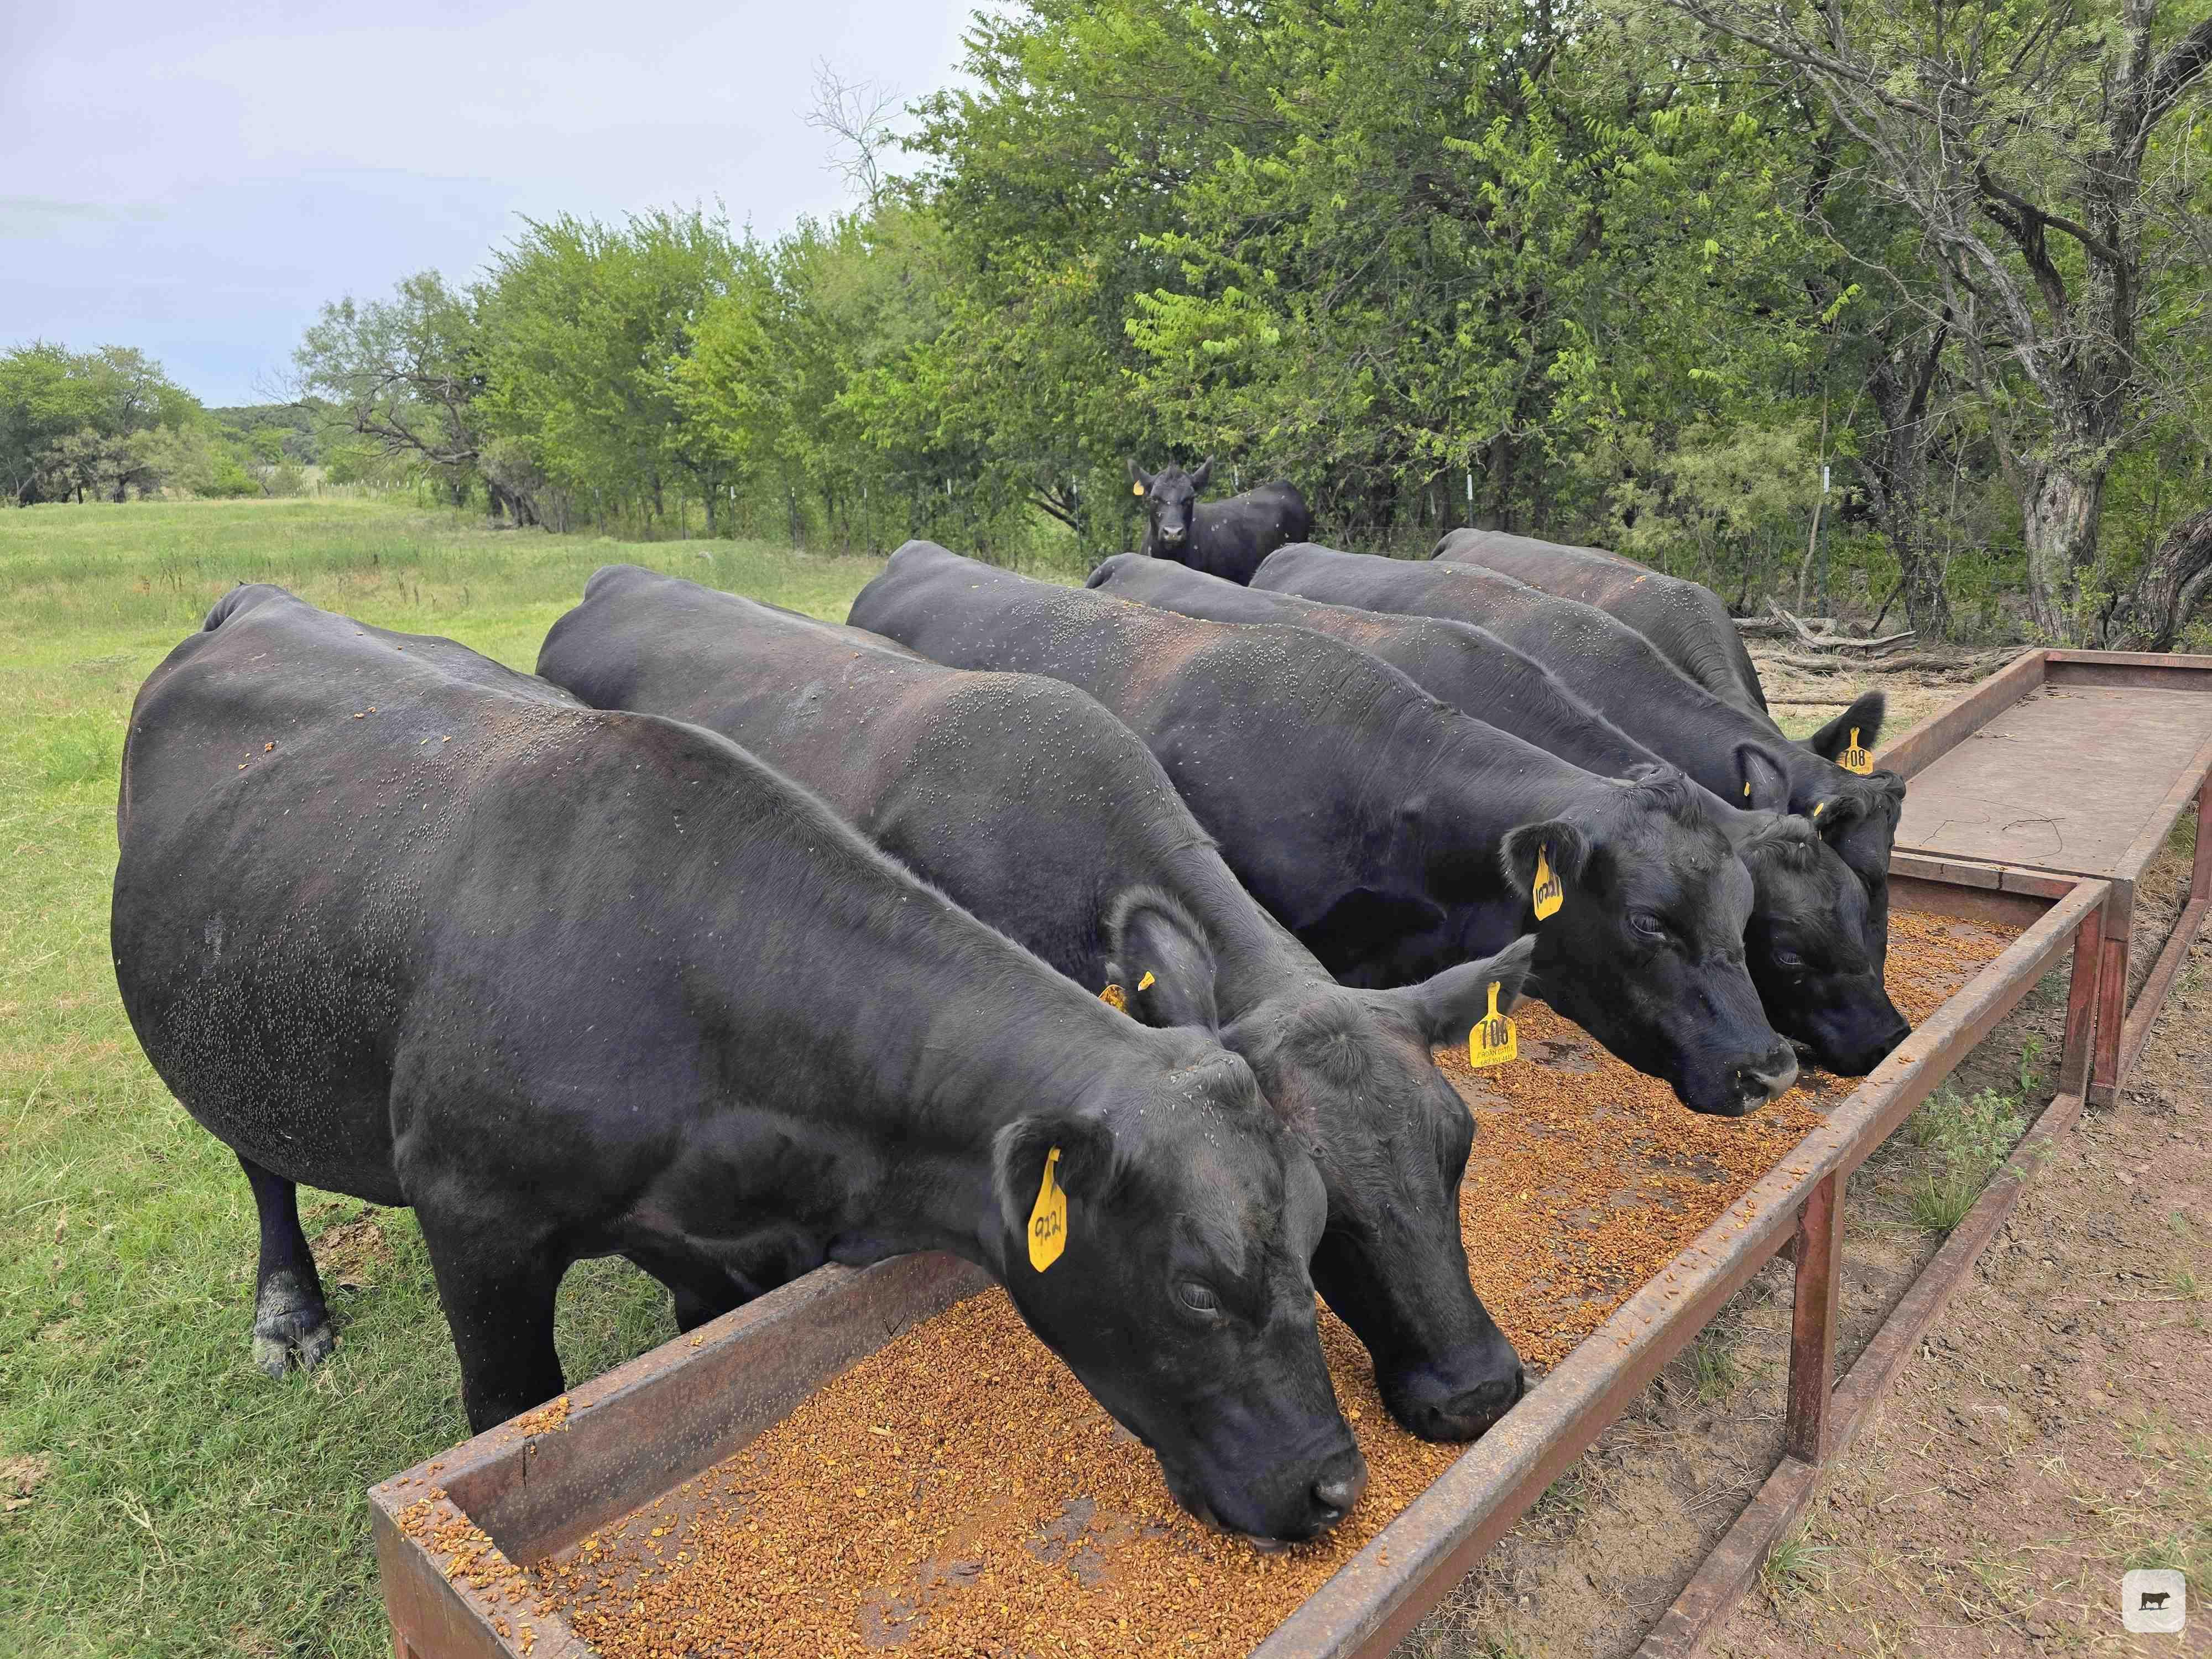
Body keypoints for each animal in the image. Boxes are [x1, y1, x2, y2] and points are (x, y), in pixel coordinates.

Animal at [111, 585, 1364, 1544]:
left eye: (1313, 1234)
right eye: (1196, 1287)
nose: (1337, 1484)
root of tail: (258, 603)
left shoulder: (725, 1251)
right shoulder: (472, 1215)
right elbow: (510, 1404)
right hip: (228, 1042)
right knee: (259, 1166)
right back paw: (289, 1311)